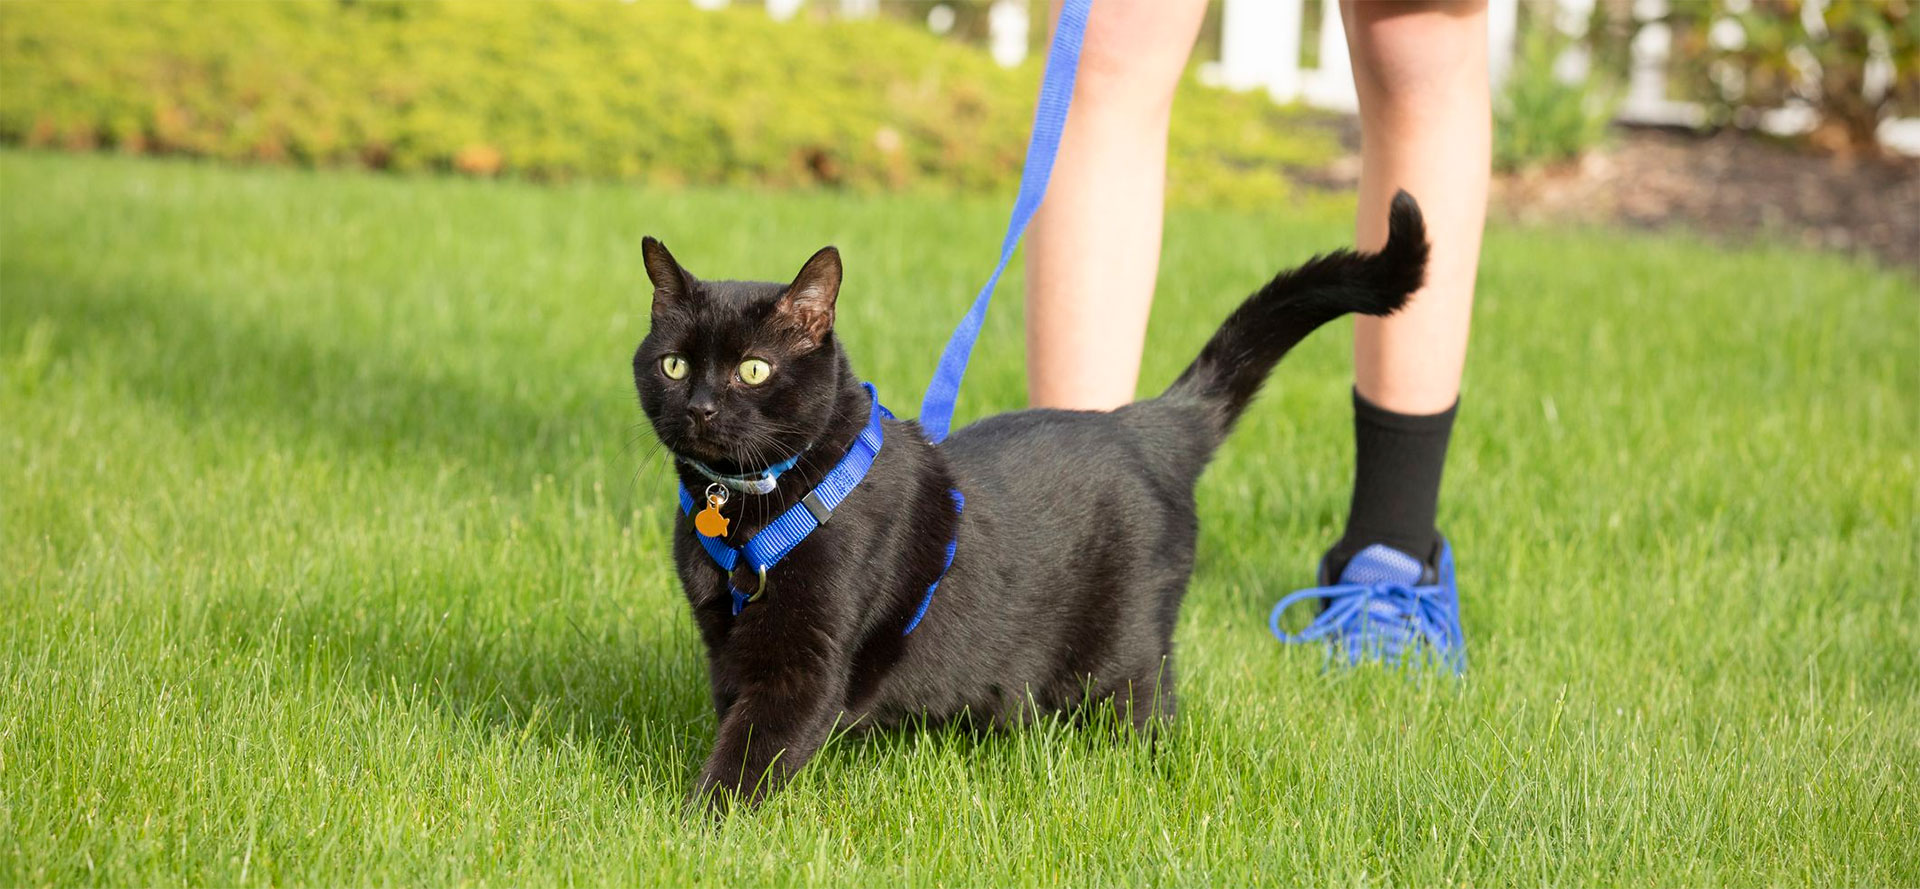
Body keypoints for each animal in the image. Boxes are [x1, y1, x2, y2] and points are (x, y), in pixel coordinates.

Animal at [633, 191, 1428, 810]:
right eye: (673, 364)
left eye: (753, 369)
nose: (700, 408)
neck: (740, 512)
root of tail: (1142, 423)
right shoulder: (726, 648)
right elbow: (738, 723)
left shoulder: (805, 663)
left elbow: (752, 753)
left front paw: (698, 832)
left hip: (1125, 654)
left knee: (1149, 713)